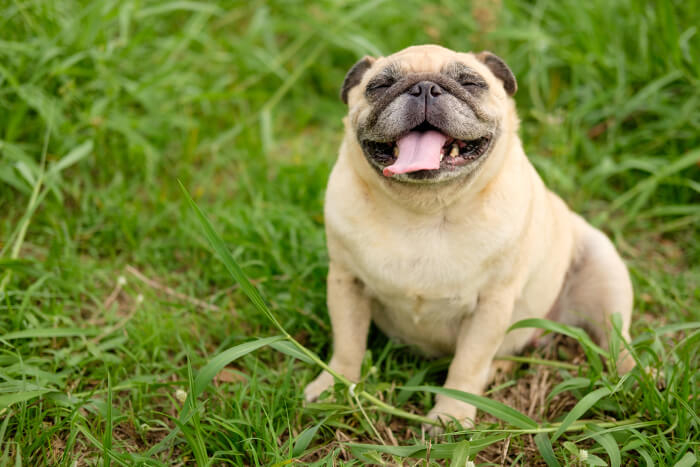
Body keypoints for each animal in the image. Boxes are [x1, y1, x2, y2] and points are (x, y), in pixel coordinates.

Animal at [304, 44, 636, 432]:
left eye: (470, 83)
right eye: (380, 86)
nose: (425, 88)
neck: (424, 211)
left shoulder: (490, 305)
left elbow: (467, 363)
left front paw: (451, 414)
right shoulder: (346, 283)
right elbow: (348, 343)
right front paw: (334, 387)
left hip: (604, 271)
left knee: (617, 339)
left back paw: (637, 378)